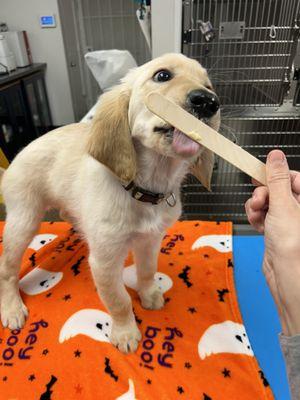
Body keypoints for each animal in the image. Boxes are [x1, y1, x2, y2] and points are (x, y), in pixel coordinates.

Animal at [0, 53, 220, 354]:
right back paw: (11, 307)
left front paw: (149, 294)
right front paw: (125, 333)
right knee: (6, 270)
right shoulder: (105, 261)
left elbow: (147, 271)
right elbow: (118, 300)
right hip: (24, 221)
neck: (143, 189)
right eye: (162, 75)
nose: (208, 101)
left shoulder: (151, 241)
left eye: (208, 85)